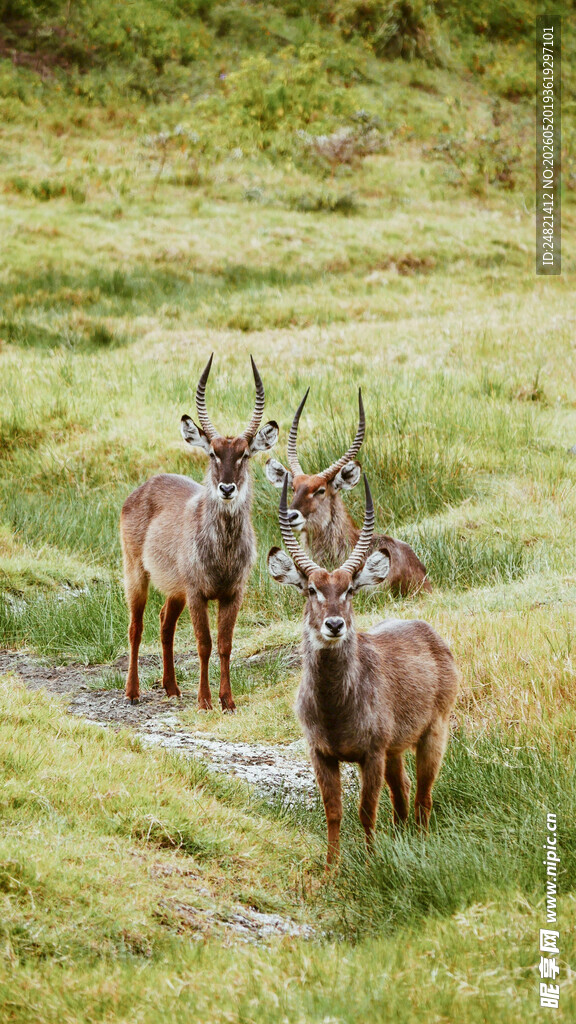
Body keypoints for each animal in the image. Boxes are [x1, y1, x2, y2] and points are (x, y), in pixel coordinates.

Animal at [120, 354, 279, 711]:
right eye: (213, 453)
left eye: (244, 454)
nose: (227, 488)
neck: (222, 554)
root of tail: (145, 485)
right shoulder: (196, 592)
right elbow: (204, 643)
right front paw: (205, 700)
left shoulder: (233, 592)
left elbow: (225, 644)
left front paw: (228, 700)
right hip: (135, 571)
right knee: (137, 626)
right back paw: (132, 691)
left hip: (174, 588)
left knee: (164, 622)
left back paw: (172, 688)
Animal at [267, 474, 459, 868]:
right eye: (311, 589)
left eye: (350, 589)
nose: (334, 625)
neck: (334, 709)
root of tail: (427, 630)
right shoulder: (322, 753)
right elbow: (334, 811)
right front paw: (331, 870)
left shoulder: (371, 753)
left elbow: (366, 811)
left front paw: (371, 865)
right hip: (396, 750)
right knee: (402, 793)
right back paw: (403, 840)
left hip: (434, 731)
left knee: (423, 795)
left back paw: (420, 844)